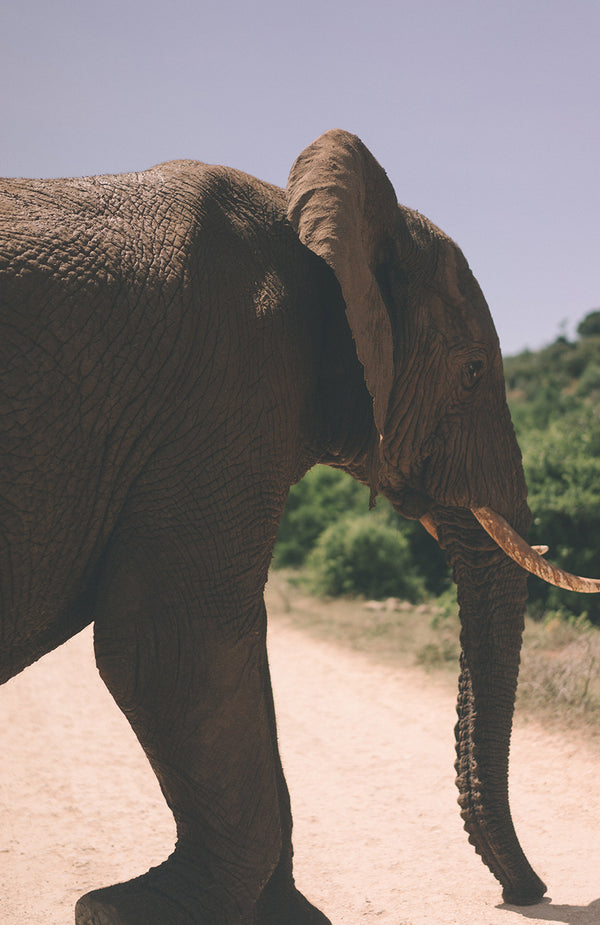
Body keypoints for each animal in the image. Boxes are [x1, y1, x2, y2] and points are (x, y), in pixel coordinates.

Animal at [1, 129, 596, 925]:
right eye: (472, 373)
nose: (529, 893)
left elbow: (236, 649)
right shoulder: (228, 384)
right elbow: (172, 643)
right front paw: (128, 908)